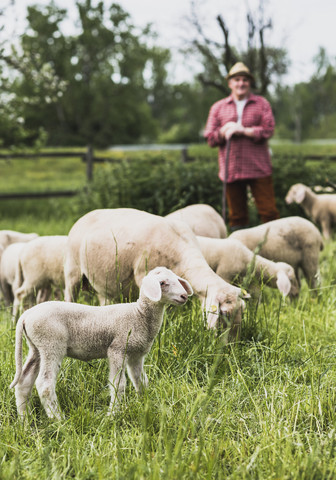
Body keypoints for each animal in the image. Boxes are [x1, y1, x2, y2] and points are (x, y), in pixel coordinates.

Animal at [10, 266, 193, 420]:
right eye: (162, 283)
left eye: (177, 280)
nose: (184, 296)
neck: (139, 314)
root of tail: (25, 316)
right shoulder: (117, 349)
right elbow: (118, 384)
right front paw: (113, 415)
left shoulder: (136, 355)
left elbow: (140, 381)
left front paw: (145, 404)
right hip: (51, 344)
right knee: (45, 385)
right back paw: (59, 420)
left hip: (36, 348)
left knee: (24, 382)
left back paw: (25, 421)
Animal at [63, 206, 247, 334]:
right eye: (225, 314)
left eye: (242, 313)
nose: (231, 348)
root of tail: (87, 214)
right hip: (72, 270)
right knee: (69, 295)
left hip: (103, 282)